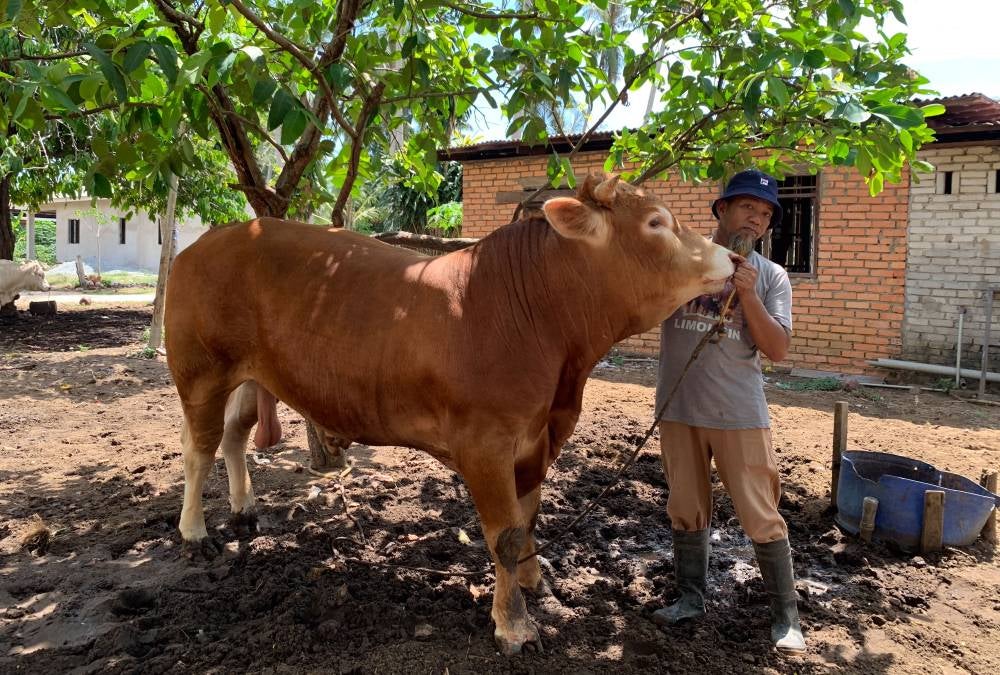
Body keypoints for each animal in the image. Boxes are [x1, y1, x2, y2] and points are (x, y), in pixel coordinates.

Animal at [164, 174, 736, 655]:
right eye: (656, 222)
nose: (731, 256)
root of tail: (208, 241)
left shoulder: (538, 436)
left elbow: (527, 516)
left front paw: (536, 582)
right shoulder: (486, 442)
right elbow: (505, 534)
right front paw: (514, 624)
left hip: (250, 374)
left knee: (234, 436)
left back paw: (244, 508)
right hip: (201, 372)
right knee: (199, 448)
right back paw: (194, 533)